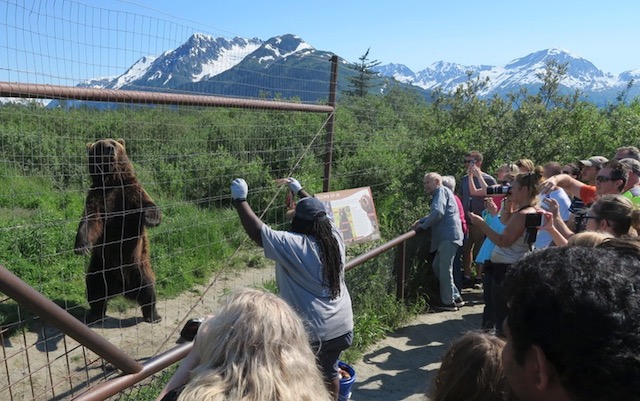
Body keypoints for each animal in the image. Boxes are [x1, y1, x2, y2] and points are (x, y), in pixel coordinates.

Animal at [74, 139, 162, 324]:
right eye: (100, 145)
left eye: (113, 142)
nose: (110, 148)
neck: (111, 181)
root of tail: (122, 289)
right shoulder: (98, 197)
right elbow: (90, 221)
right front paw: (81, 246)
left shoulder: (129, 191)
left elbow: (147, 204)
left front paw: (150, 218)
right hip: (100, 268)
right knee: (94, 289)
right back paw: (94, 315)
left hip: (138, 265)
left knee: (148, 289)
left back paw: (153, 315)